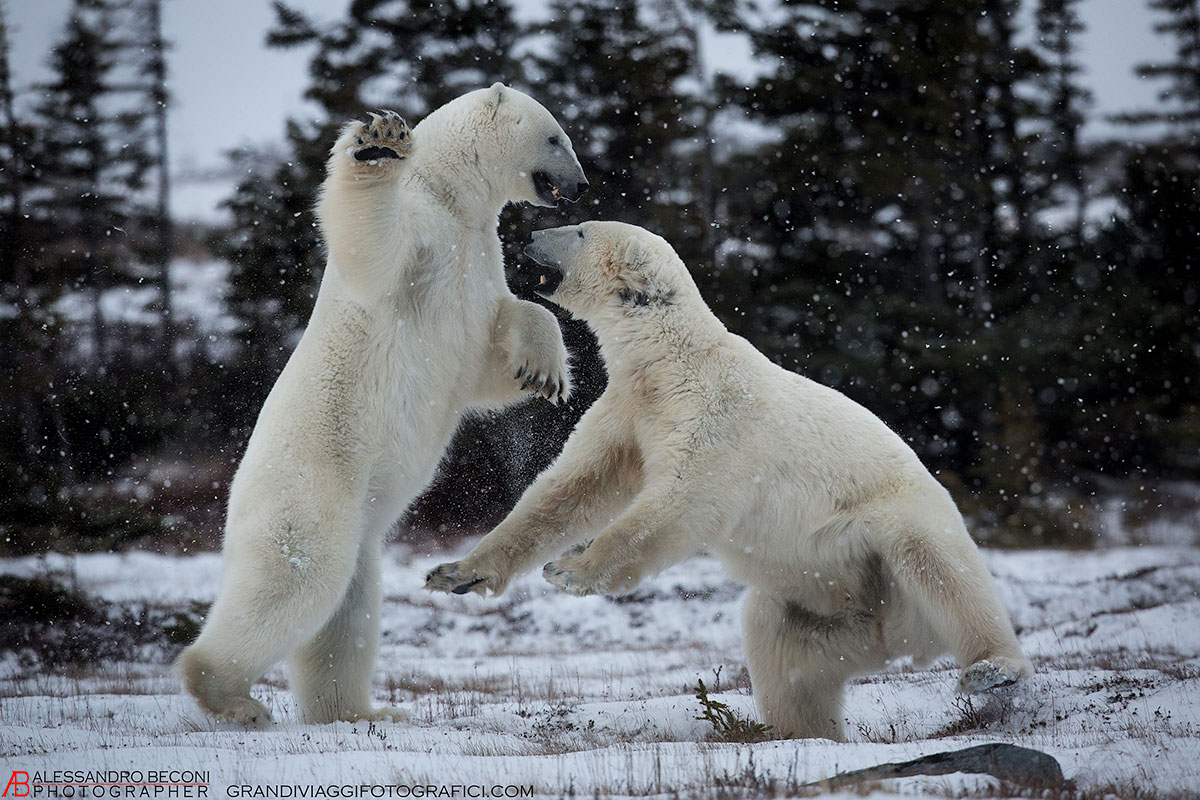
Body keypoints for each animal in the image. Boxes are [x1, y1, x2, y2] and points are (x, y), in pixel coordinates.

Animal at [177, 85, 588, 727]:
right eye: (555, 136)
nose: (582, 183)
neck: (454, 198)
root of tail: (236, 489)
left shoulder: (477, 254)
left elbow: (491, 351)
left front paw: (543, 371)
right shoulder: (424, 234)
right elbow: (375, 250)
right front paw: (379, 144)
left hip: (362, 529)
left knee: (348, 610)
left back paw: (358, 712)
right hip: (311, 492)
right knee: (294, 582)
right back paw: (232, 697)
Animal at [425, 221, 1032, 741]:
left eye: (578, 231)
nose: (528, 234)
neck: (670, 360)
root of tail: (902, 641)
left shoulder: (716, 416)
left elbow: (681, 501)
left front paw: (570, 570)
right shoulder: (630, 408)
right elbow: (574, 488)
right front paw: (456, 572)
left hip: (889, 530)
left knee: (938, 563)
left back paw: (993, 668)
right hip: (829, 605)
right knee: (782, 646)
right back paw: (798, 732)